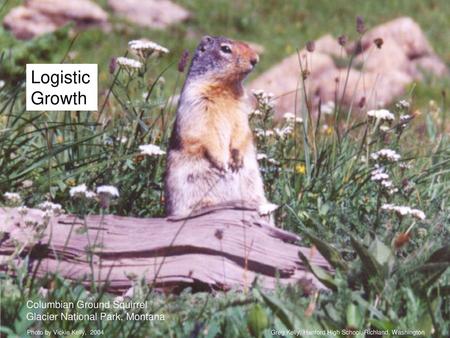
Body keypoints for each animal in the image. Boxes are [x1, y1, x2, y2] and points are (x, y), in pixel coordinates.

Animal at [165, 35, 278, 218]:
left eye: (246, 44)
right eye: (225, 49)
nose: (255, 59)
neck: (225, 88)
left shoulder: (240, 110)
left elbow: (242, 130)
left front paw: (236, 160)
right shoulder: (196, 102)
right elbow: (204, 133)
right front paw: (222, 163)